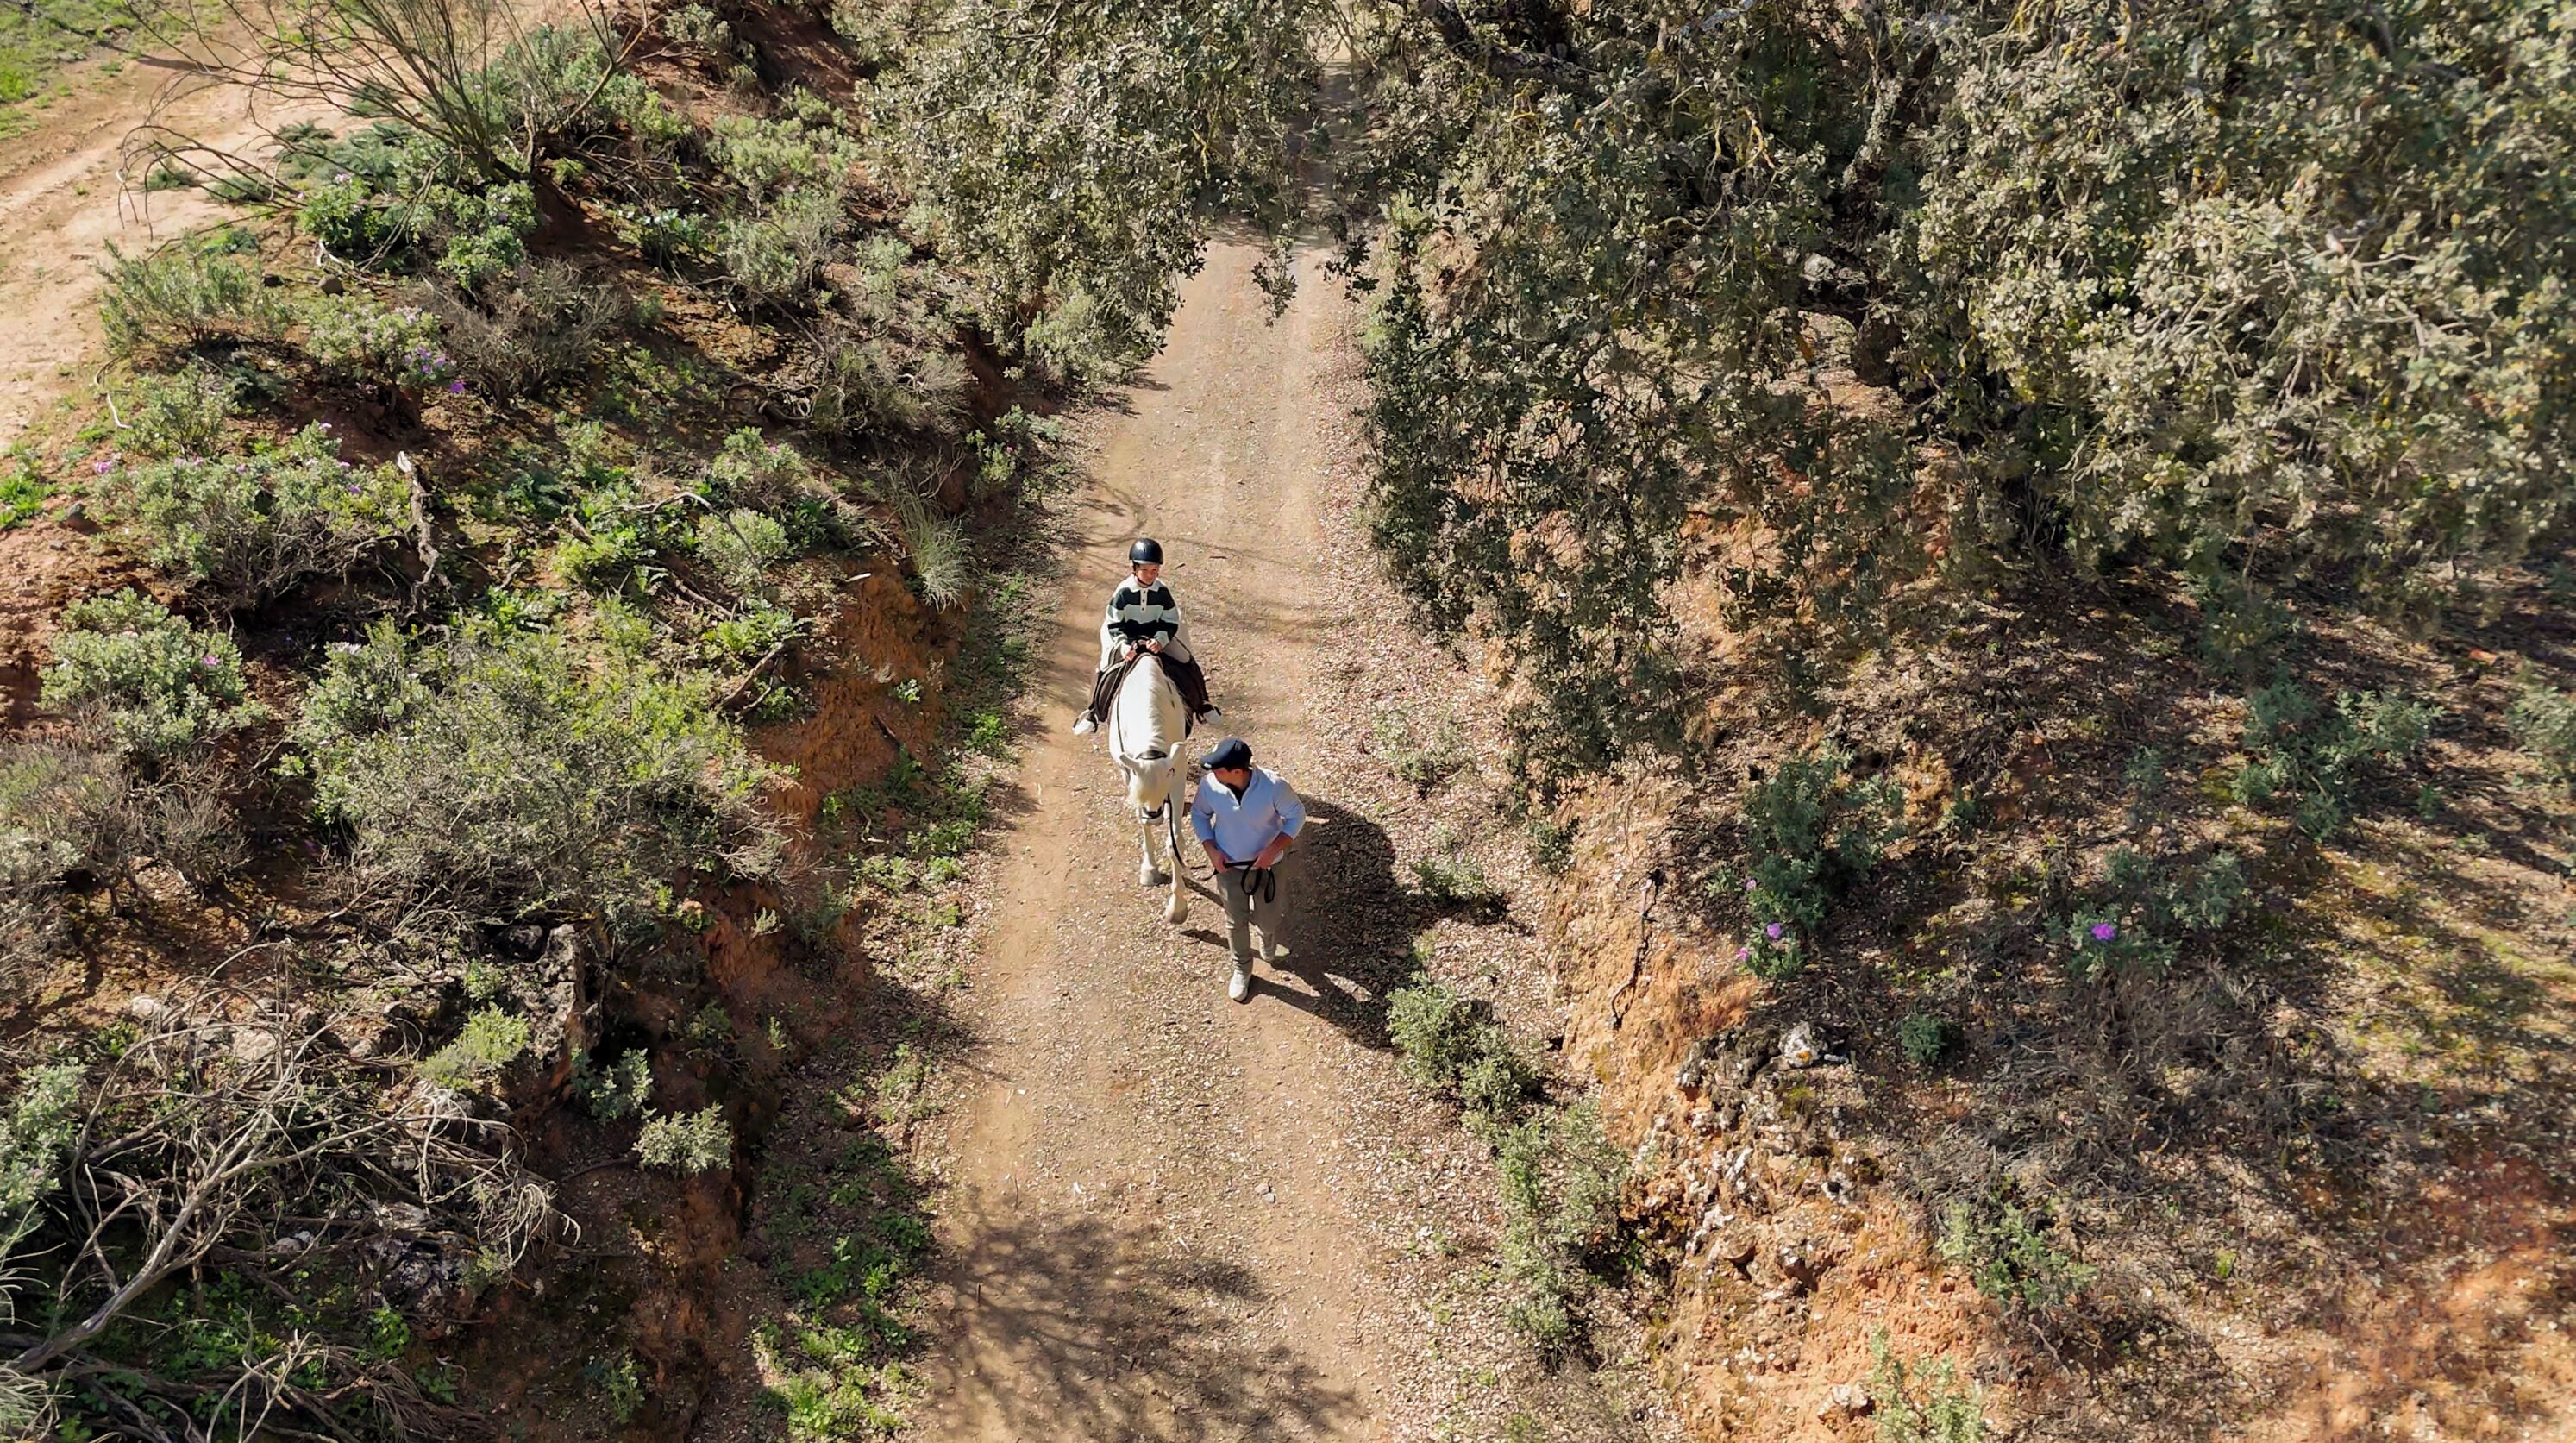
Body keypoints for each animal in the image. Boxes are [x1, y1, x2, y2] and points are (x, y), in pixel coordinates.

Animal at [1106, 654, 1190, 925]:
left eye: (1169, 776)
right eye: (1139, 789)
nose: (1154, 816)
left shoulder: (1178, 775)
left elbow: (1175, 842)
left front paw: (1177, 908)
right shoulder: (1127, 773)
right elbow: (1141, 822)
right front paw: (1150, 870)